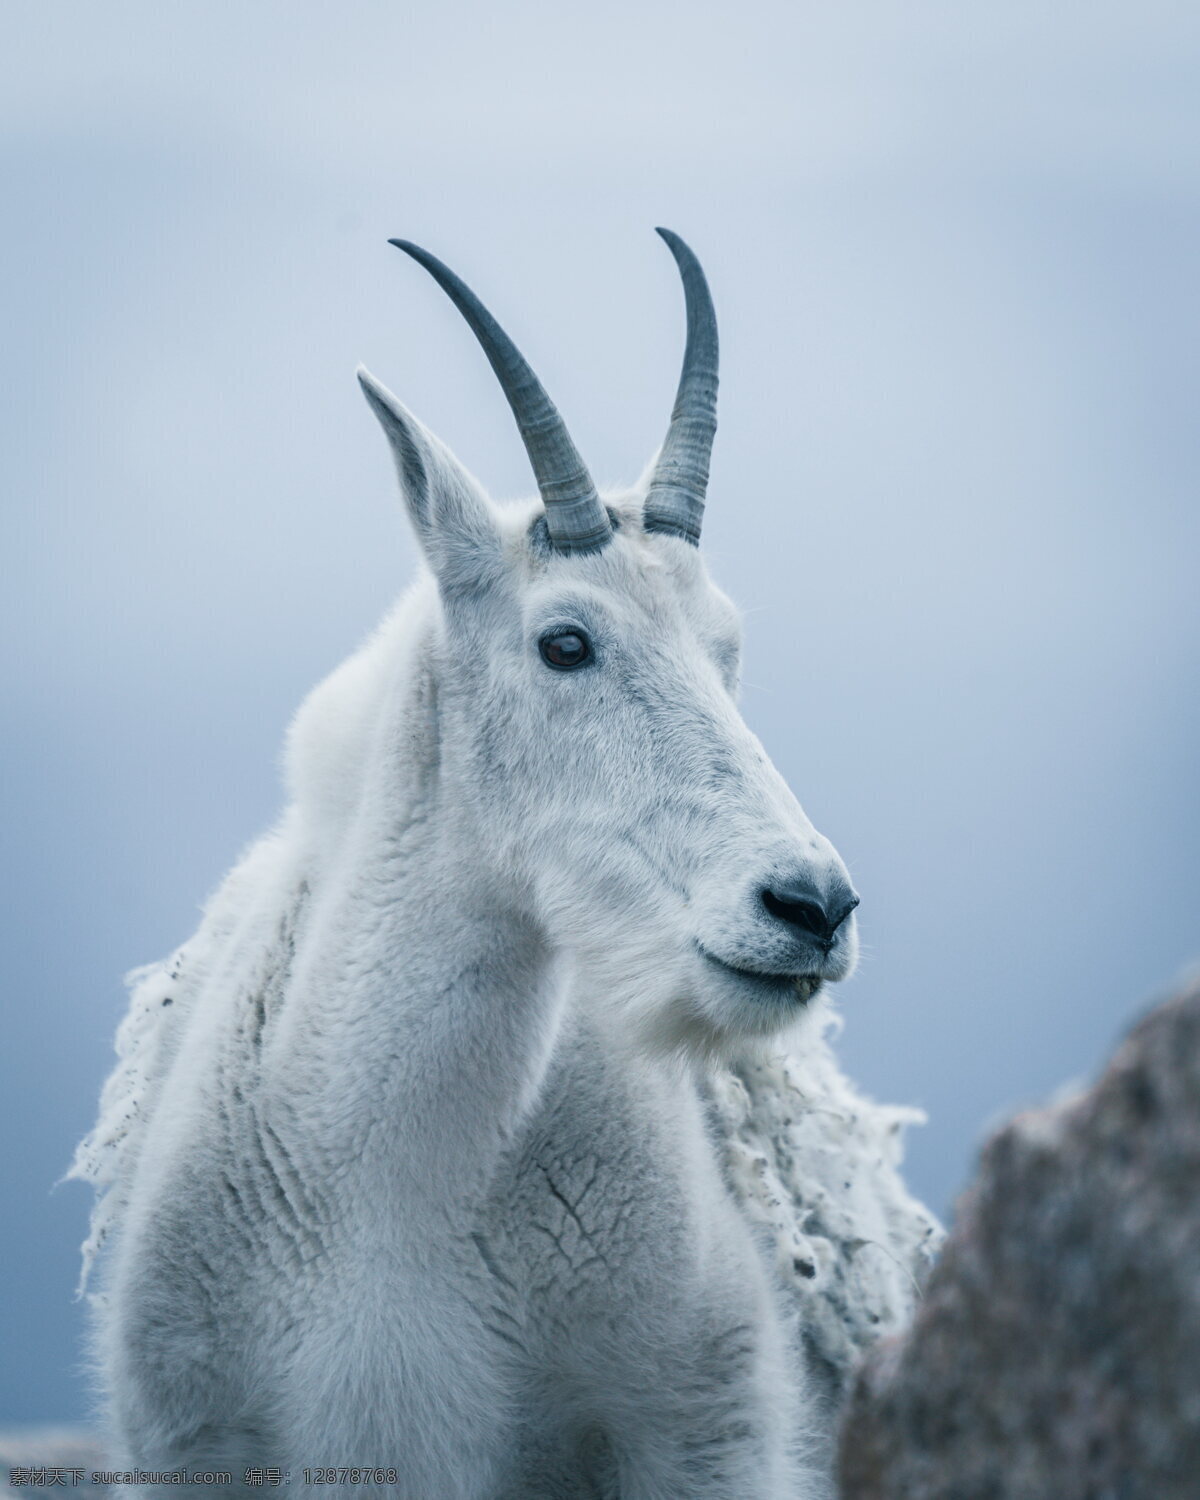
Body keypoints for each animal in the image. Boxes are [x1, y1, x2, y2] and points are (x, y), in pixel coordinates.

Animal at [70, 228, 942, 1494]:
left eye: (727, 646)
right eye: (564, 642)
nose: (810, 906)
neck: (396, 1182)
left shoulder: (708, 1437)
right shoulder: (201, 1446)